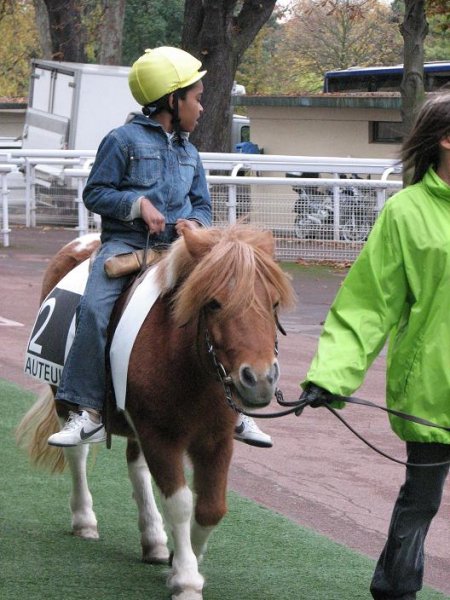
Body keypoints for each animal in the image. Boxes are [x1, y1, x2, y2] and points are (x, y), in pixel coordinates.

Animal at [17, 225, 298, 600]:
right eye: (213, 303)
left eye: (274, 303)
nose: (260, 379)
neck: (189, 367)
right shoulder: (160, 436)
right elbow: (180, 503)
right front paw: (186, 577)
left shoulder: (215, 440)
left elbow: (211, 508)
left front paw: (183, 556)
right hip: (64, 398)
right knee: (78, 455)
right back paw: (84, 520)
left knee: (136, 468)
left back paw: (153, 540)